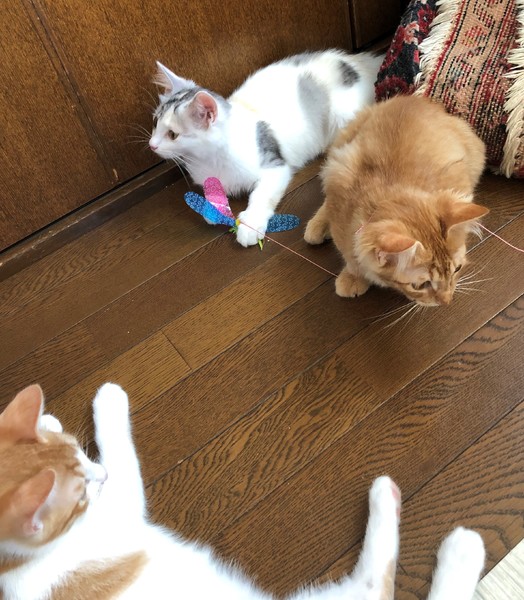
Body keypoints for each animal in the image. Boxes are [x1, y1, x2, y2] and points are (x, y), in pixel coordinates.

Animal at [0, 383, 485, 599]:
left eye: (82, 468)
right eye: (80, 494)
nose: (95, 477)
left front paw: (46, 421)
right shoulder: (123, 510)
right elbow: (121, 456)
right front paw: (108, 401)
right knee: (374, 584)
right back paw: (450, 540)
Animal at [149, 50, 382, 247]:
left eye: (173, 134)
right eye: (155, 122)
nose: (152, 145)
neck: (208, 159)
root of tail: (362, 61)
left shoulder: (274, 165)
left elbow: (261, 195)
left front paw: (250, 225)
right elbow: (211, 187)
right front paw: (213, 208)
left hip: (342, 117)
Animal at [304, 95, 489, 306]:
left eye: (457, 269)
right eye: (421, 285)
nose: (446, 300)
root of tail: (414, 99)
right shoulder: (340, 198)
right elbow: (350, 256)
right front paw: (354, 275)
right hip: (337, 157)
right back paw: (317, 226)